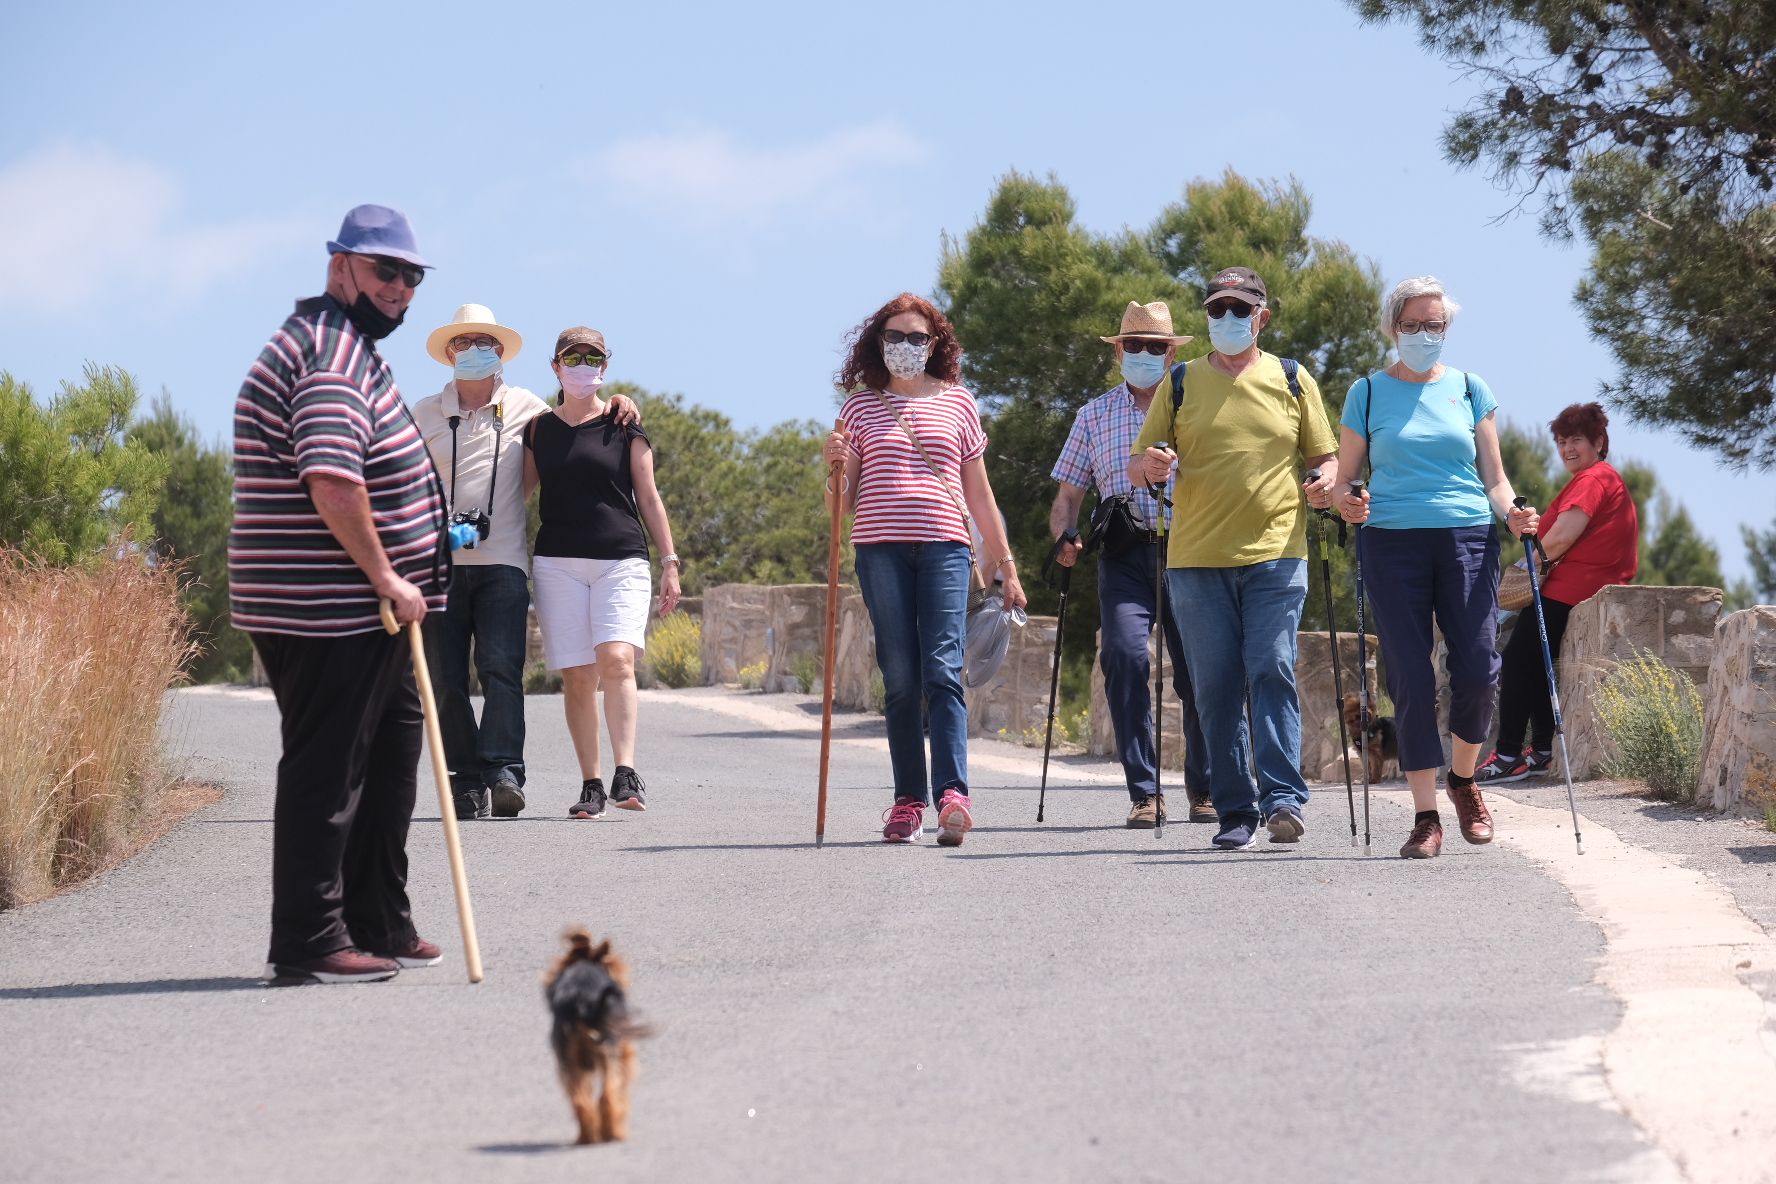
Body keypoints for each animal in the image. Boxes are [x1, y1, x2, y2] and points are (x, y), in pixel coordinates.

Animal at [547, 930, 653, 1143]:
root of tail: (581, 1002)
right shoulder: (623, 1051)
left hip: (570, 1058)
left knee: (580, 1100)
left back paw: (587, 1137)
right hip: (608, 1051)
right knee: (608, 1095)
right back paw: (614, 1133)